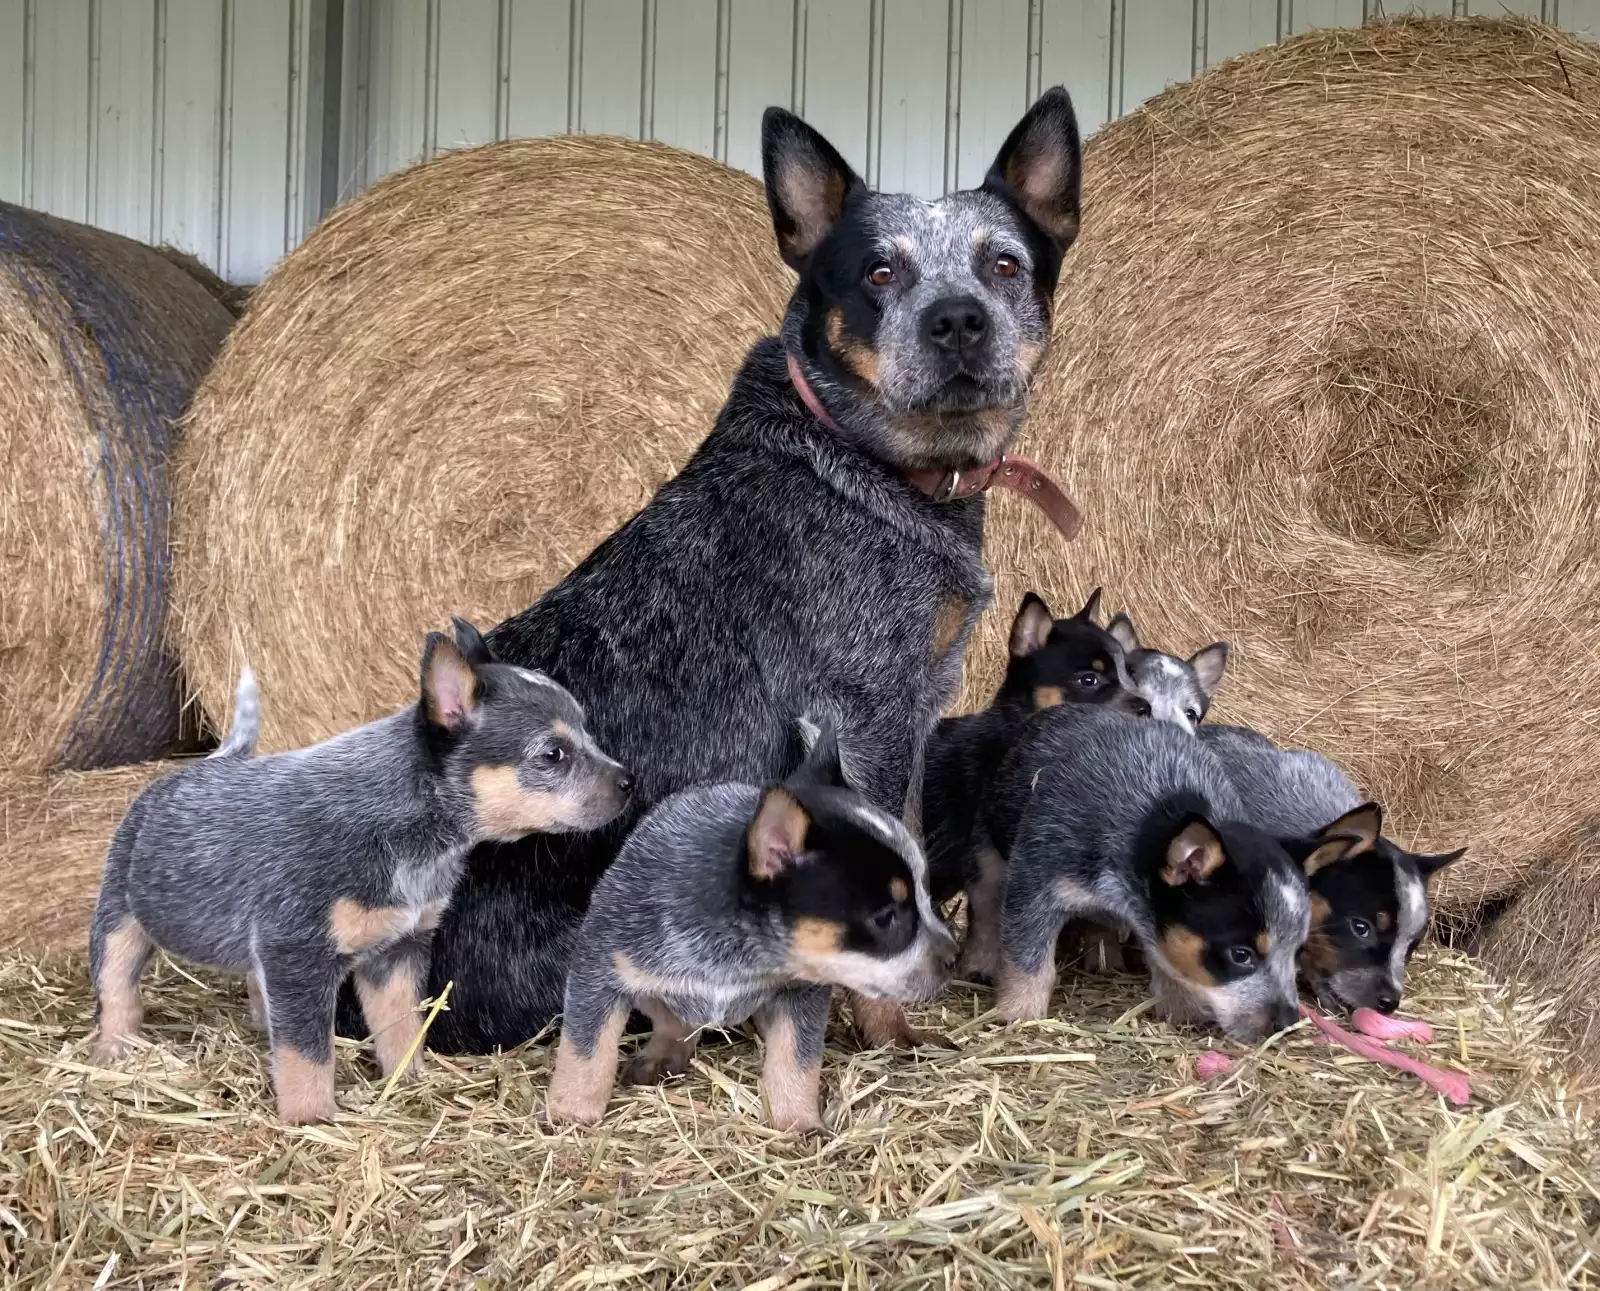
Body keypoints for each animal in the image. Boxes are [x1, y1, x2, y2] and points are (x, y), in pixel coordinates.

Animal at [89, 620, 629, 1124]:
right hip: (118, 912)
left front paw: (411, 1083)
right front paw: (310, 1118)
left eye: (588, 731)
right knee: (117, 986)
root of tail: (204, 763)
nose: (630, 781)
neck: (409, 830)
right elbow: (307, 1053)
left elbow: (401, 1028)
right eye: (553, 754)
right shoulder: (299, 952)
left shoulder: (398, 950)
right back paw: (113, 1050)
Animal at [419, 89, 1086, 1053]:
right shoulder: (868, 711)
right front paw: (889, 1024)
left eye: (1002, 263)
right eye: (878, 273)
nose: (958, 318)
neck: (868, 459)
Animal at [545, 720, 956, 1132]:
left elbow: (797, 1057)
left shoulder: (801, 992)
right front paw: (571, 1112)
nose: (953, 957)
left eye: (925, 892)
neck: (736, 954)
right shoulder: (600, 967)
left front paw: (798, 1122)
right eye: (886, 918)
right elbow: (585, 1048)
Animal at [984, 705, 1362, 1042]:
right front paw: (1018, 1017)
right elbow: (1029, 960)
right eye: (1241, 955)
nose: (1286, 1023)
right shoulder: (1036, 879)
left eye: (1297, 951)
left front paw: (1183, 1014)